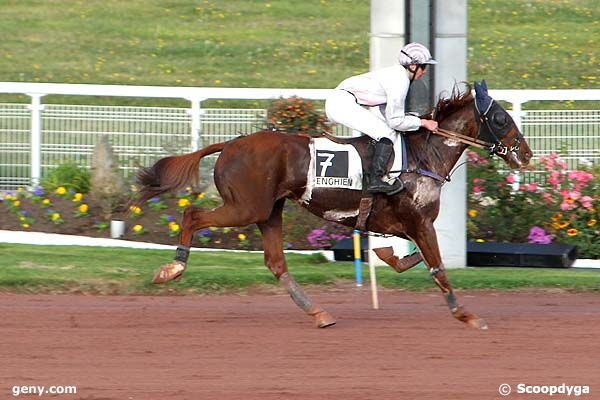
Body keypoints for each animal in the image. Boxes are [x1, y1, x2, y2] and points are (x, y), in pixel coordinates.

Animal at [135, 80, 528, 328]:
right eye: (500, 118)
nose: (525, 154)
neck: (422, 156)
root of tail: (230, 144)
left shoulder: (401, 223)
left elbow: (406, 257)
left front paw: (393, 257)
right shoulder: (419, 222)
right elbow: (438, 268)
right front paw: (466, 315)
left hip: (269, 212)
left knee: (276, 262)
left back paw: (318, 313)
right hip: (246, 208)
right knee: (192, 214)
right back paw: (172, 268)